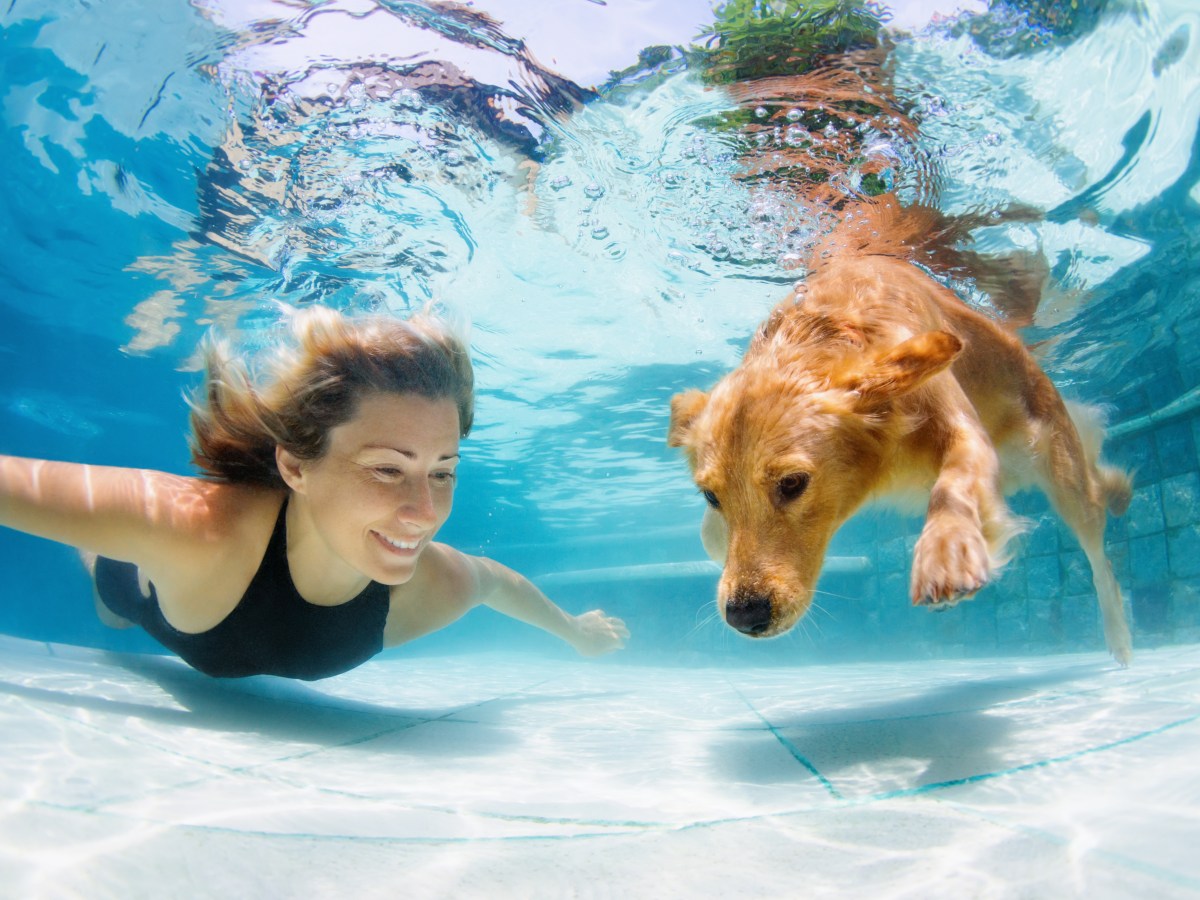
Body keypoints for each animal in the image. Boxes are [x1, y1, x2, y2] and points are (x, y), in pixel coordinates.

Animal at [667, 199, 1132, 672]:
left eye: (793, 484)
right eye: (711, 496)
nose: (744, 616)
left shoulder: (958, 423)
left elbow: (954, 480)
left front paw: (946, 552)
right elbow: (709, 536)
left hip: (1055, 462)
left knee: (1095, 541)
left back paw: (1118, 632)